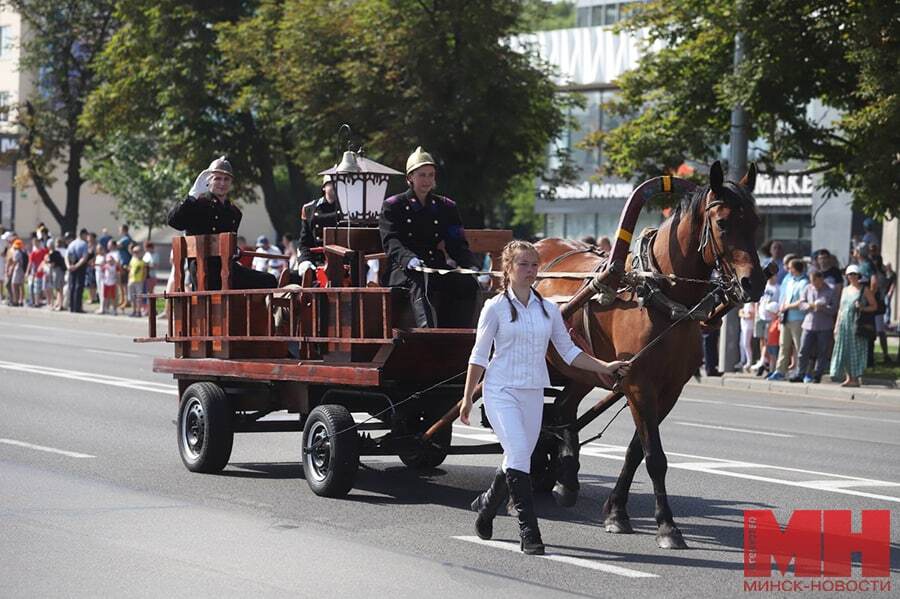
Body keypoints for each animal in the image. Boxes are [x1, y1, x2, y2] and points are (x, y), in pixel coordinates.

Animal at [536, 161, 764, 548]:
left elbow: (637, 451)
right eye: (722, 223)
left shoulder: (667, 389)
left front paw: (616, 511)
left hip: (582, 369)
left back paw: (566, 478)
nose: (755, 283)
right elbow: (654, 457)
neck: (662, 296)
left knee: (563, 408)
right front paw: (667, 525)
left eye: (757, 222)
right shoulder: (639, 385)